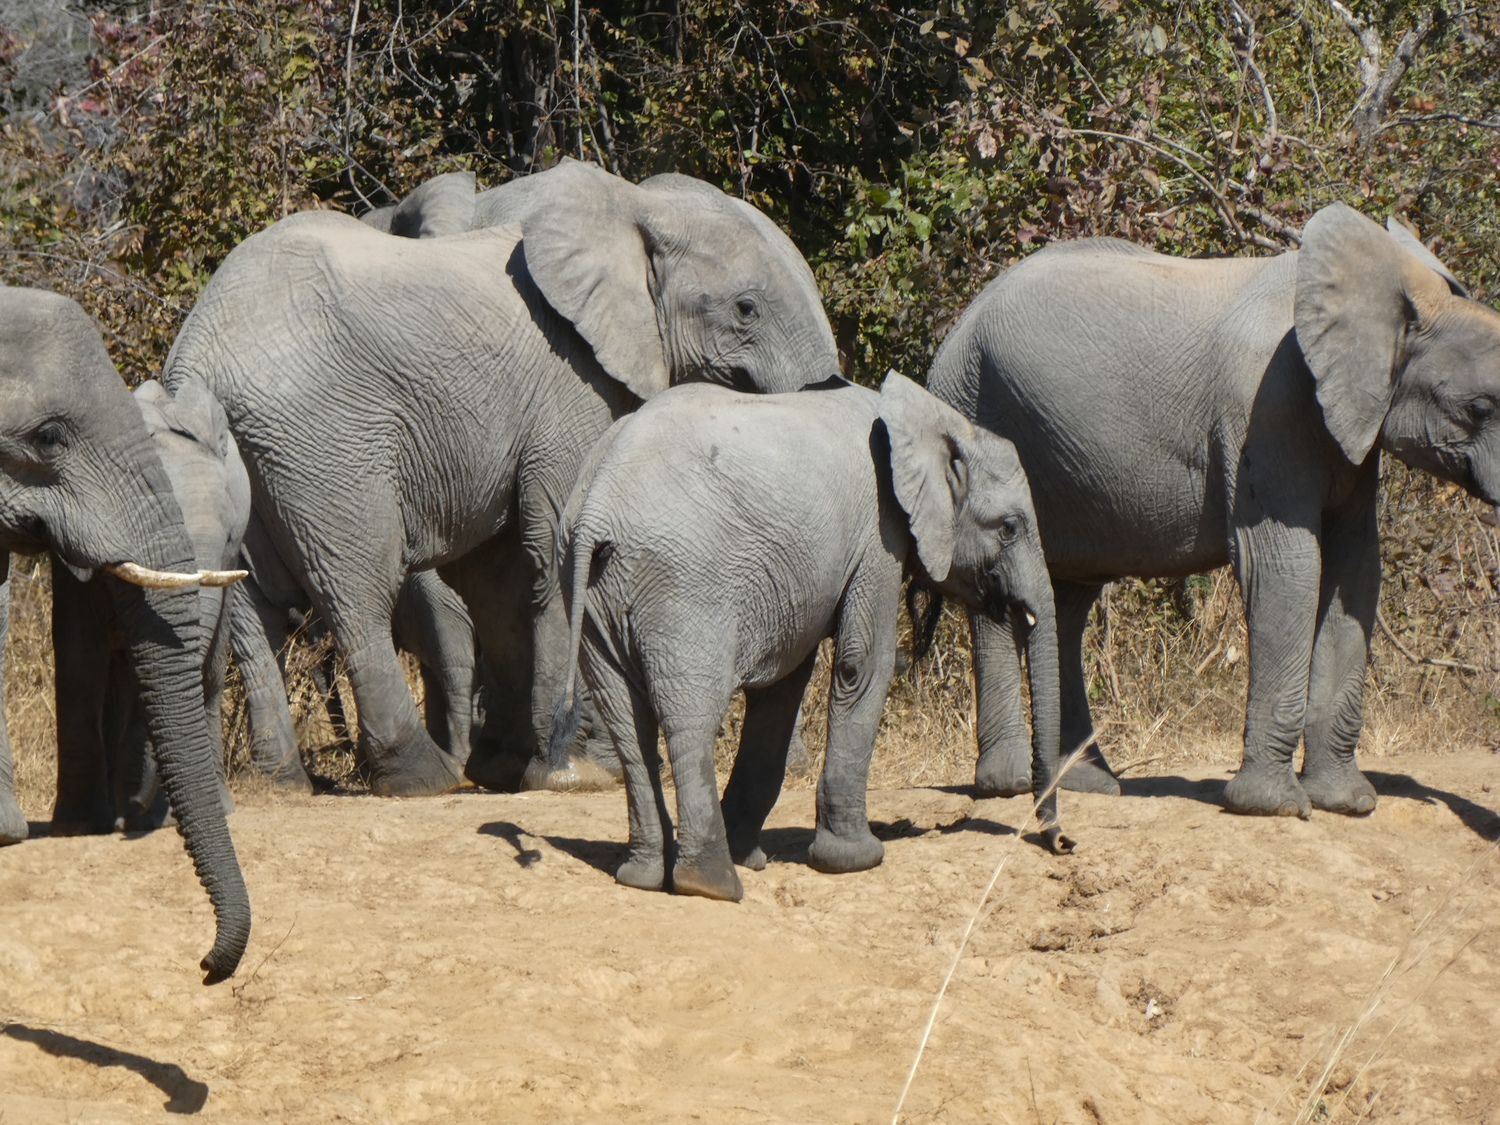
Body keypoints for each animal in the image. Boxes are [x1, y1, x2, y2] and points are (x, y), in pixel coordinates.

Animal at [46, 379, 247, 840]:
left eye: (230, 537)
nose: (133, 808)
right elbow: (80, 656)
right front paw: (79, 825)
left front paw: (147, 816)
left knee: (210, 671)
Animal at [164, 156, 846, 804]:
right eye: (746, 309)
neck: (638, 209)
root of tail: (196, 356)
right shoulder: (572, 381)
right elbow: (556, 557)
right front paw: (574, 774)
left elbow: (501, 577)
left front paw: (507, 768)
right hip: (323, 442)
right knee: (357, 586)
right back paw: (421, 778)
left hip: (241, 457)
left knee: (253, 610)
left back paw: (281, 783)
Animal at [540, 375, 1068, 906]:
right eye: (1008, 527)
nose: (1063, 843)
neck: (937, 420)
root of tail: (598, 503)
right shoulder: (880, 533)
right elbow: (863, 664)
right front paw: (855, 861)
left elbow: (782, 687)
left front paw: (751, 855)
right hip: (683, 584)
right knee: (690, 716)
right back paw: (711, 884)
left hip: (591, 589)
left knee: (627, 720)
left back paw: (645, 877)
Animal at [924, 202, 1500, 822]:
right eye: (1479, 408)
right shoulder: (1265, 405)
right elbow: (1287, 569)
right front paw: (1276, 809)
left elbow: (1357, 572)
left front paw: (1347, 804)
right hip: (973, 406)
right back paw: (1008, 786)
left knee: (1069, 599)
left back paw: (1084, 784)